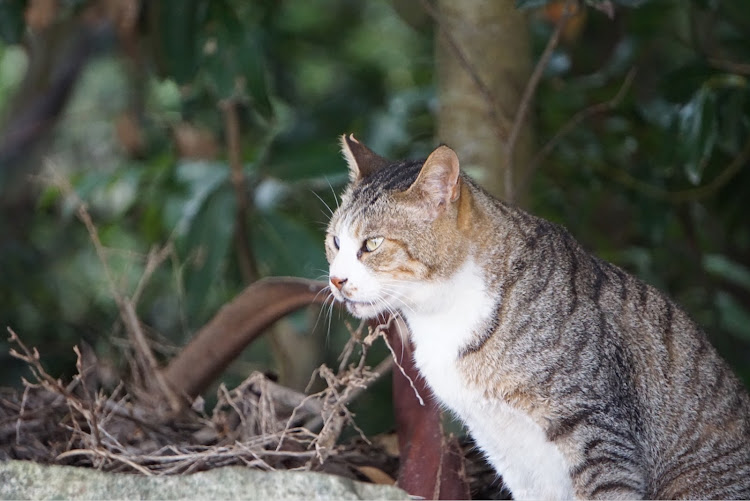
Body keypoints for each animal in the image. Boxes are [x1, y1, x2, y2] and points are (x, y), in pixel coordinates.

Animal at [326, 134, 750, 500]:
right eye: (335, 242)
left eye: (373, 244)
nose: (335, 279)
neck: (446, 314)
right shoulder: (504, 446)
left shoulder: (599, 431)